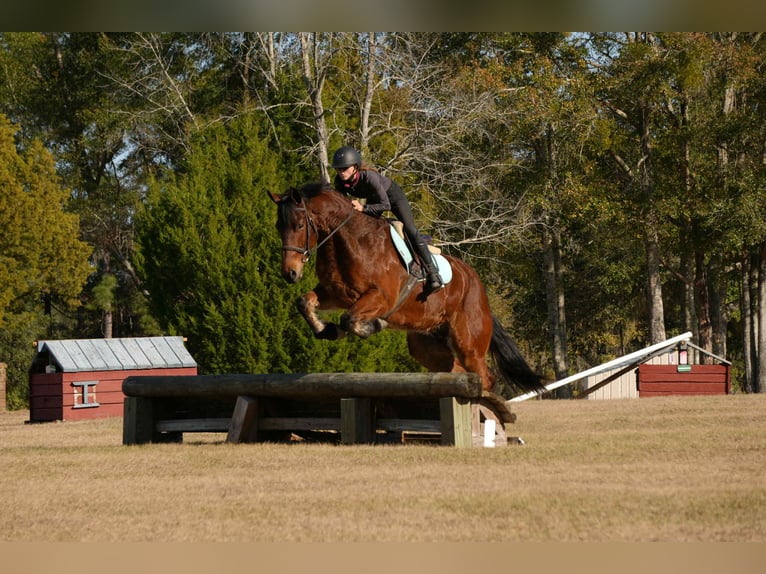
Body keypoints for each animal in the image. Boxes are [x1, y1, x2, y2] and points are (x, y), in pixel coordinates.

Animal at [269, 182, 545, 397]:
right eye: (278, 227)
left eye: (299, 226)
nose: (289, 273)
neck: (347, 239)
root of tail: (479, 289)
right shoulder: (335, 293)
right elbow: (304, 302)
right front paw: (326, 330)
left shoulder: (382, 298)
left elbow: (349, 319)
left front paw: (372, 326)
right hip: (426, 344)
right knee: (455, 369)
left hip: (469, 345)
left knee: (484, 377)